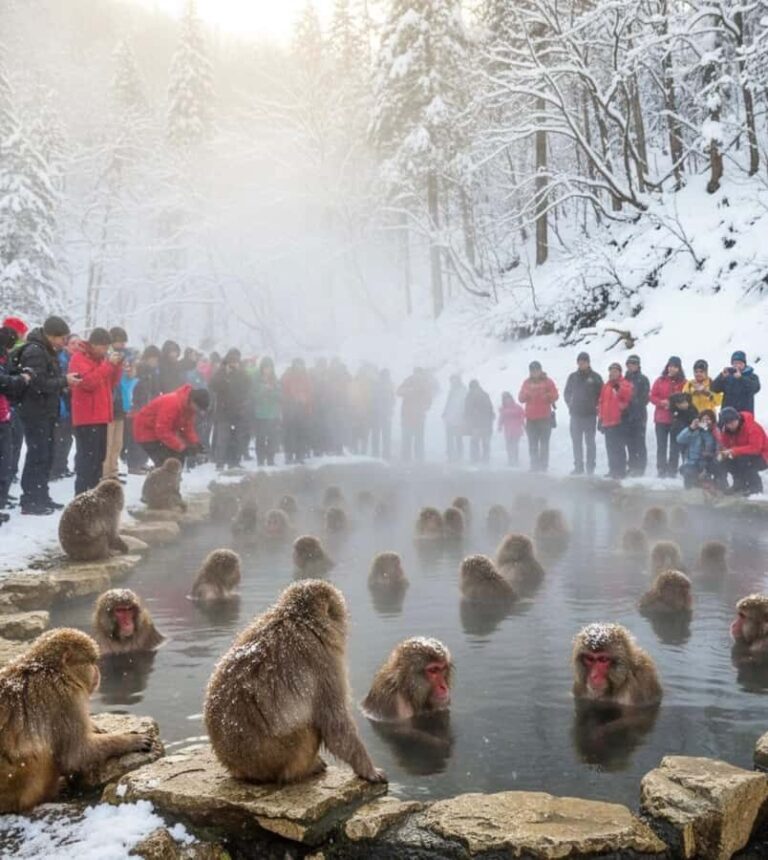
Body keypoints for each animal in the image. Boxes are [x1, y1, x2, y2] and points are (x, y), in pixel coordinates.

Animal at [0, 628, 153, 813]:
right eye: (90, 662)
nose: (97, 671)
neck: (56, 671)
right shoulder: (65, 699)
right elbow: (76, 754)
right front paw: (130, 740)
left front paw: (95, 727)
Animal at [204, 579, 386, 784]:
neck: (296, 618)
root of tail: (238, 768)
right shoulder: (324, 661)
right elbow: (335, 724)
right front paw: (369, 771)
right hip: (283, 755)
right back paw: (308, 769)